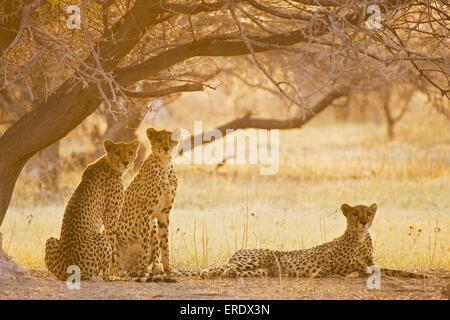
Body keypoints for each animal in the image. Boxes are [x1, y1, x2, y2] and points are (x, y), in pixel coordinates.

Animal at [45, 140, 139, 280]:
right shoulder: (110, 220)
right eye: (117, 153)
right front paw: (116, 271)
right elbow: (113, 246)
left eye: (130, 152)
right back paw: (109, 276)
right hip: (100, 238)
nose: (126, 162)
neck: (108, 163)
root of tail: (71, 268)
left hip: (50, 240)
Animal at [113, 127, 178, 278]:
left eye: (171, 139)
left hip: (152, 224)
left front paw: (168, 268)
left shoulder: (163, 213)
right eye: (159, 139)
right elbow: (145, 244)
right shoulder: (145, 213)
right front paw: (143, 270)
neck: (164, 165)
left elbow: (164, 243)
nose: (166, 148)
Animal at [185, 204, 426, 278]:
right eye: (355, 214)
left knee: (231, 270)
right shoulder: (337, 267)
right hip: (257, 258)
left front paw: (419, 275)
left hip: (262, 270)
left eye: (368, 212)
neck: (359, 238)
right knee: (221, 266)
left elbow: (392, 270)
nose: (364, 221)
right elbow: (360, 270)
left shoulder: (370, 263)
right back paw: (207, 273)